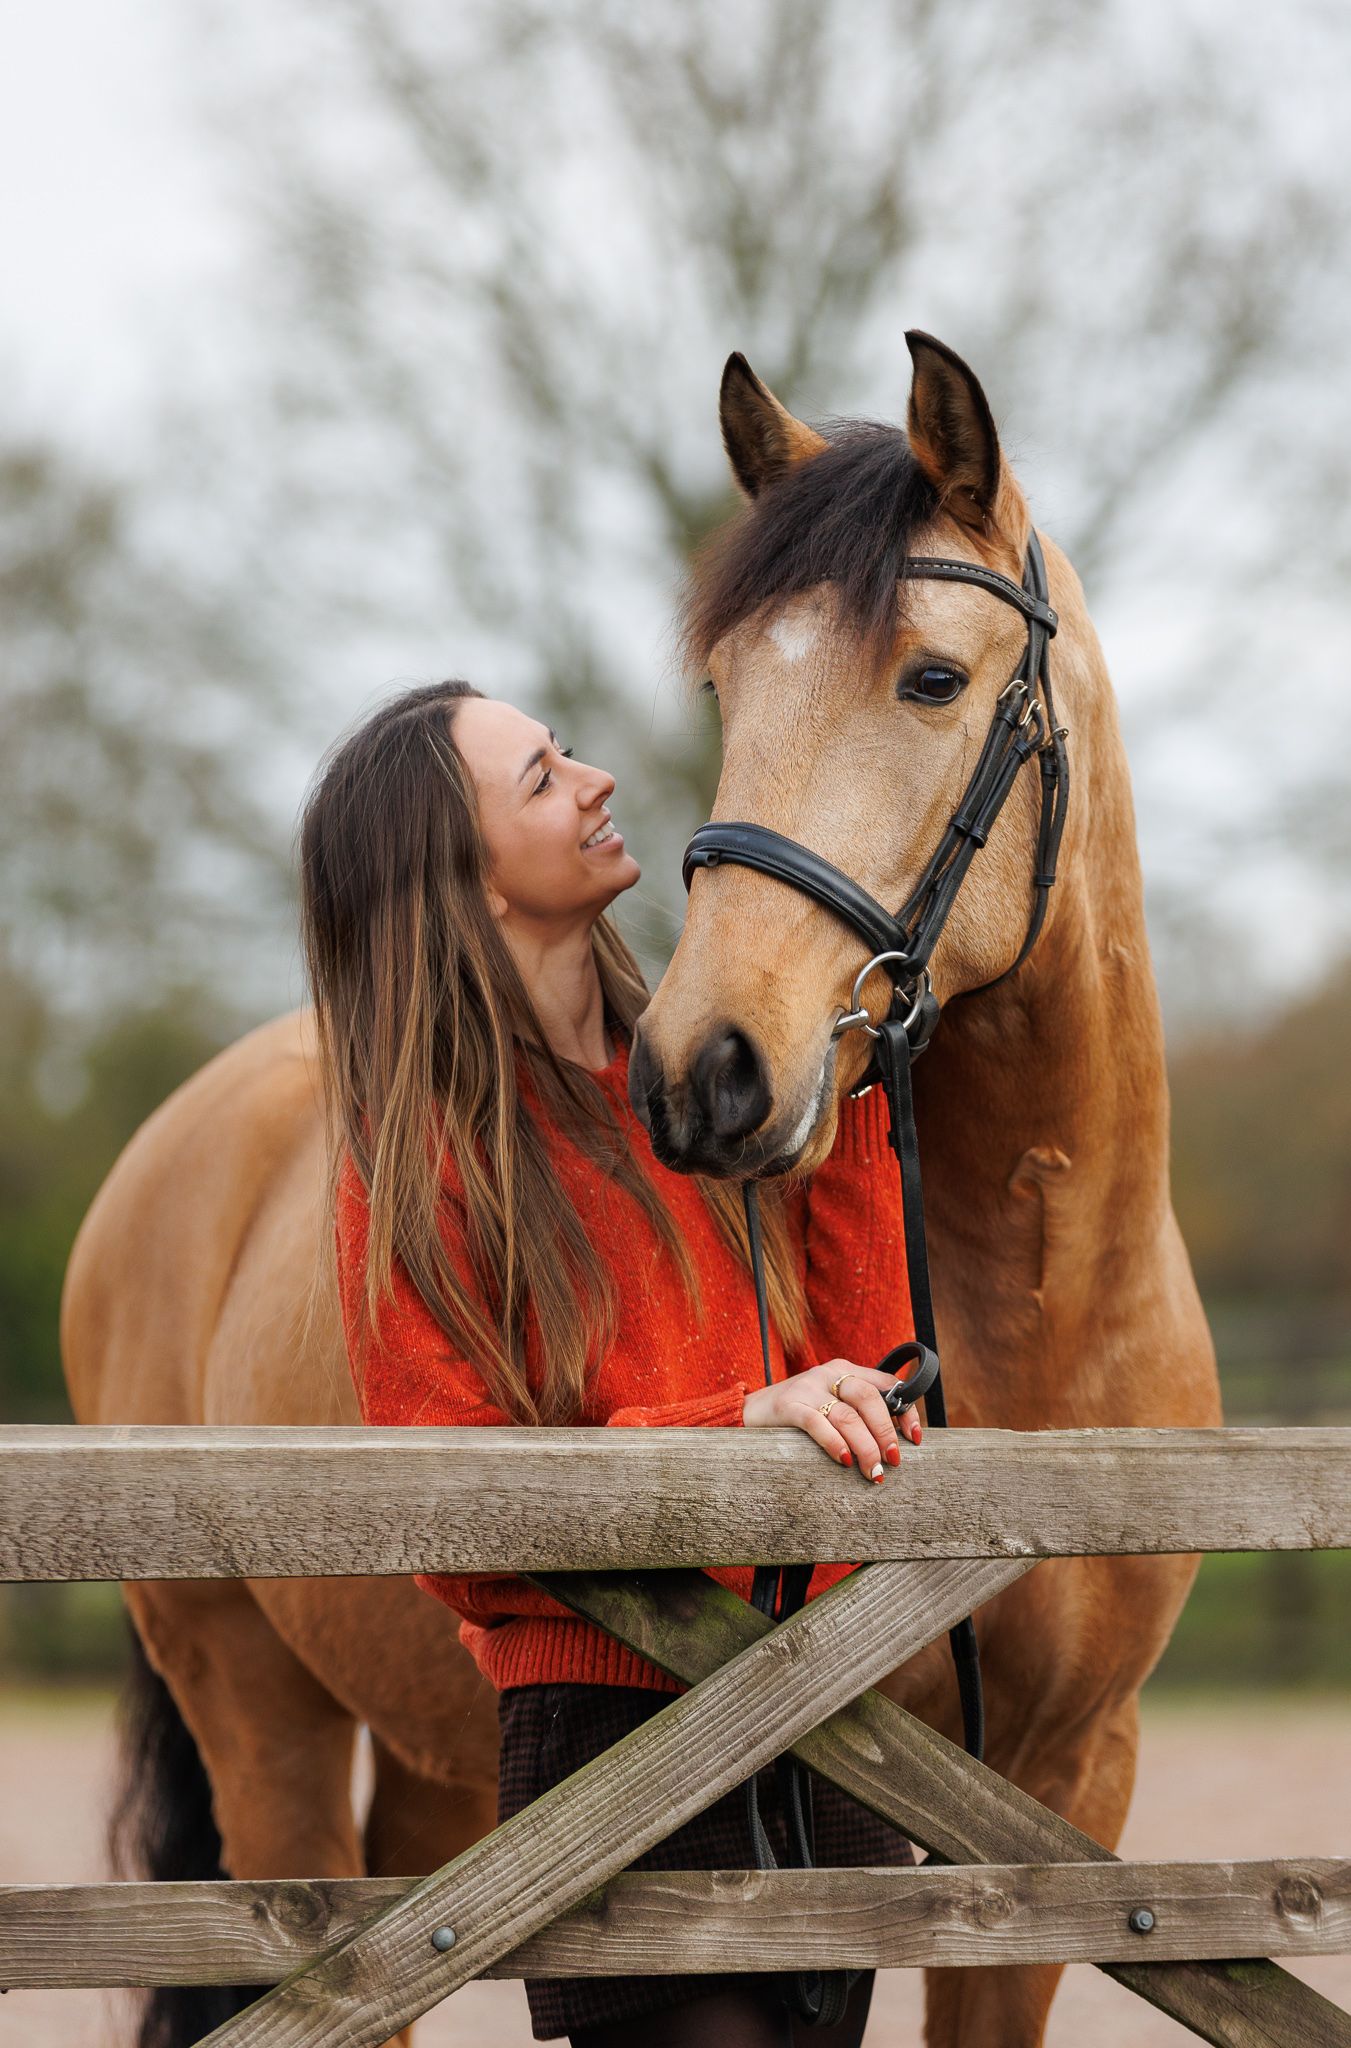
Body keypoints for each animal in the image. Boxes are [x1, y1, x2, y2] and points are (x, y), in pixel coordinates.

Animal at [60, 329, 1220, 2048]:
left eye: (931, 679)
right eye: (725, 686)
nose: (700, 1072)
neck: (1045, 1312)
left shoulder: (1054, 1812)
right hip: (265, 1734)